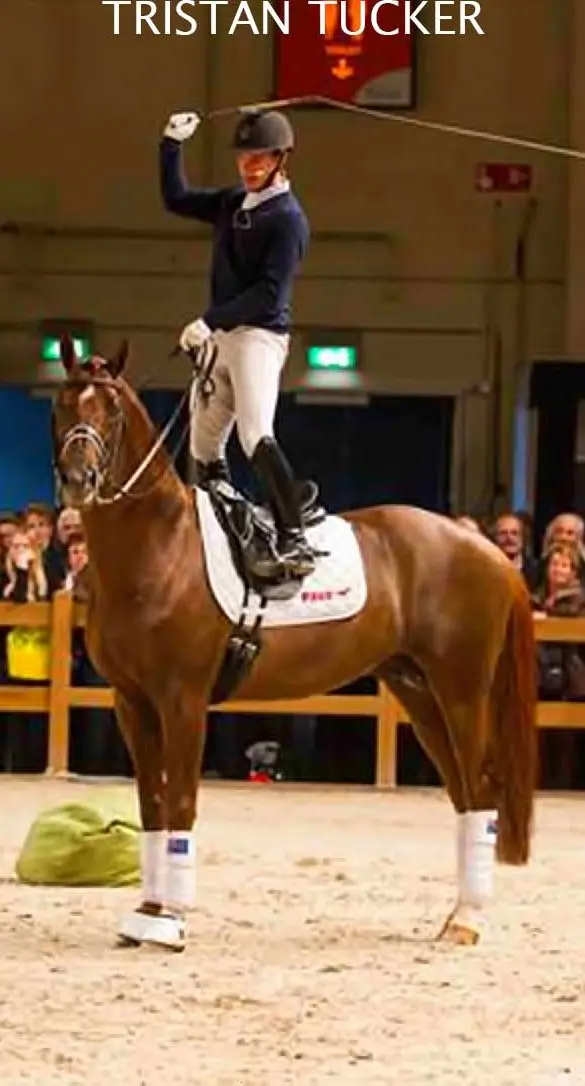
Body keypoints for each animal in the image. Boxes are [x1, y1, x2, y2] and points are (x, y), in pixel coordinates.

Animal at [50, 334, 538, 952]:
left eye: (110, 411)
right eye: (61, 404)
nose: (77, 480)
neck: (159, 548)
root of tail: (484, 547)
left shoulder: (182, 701)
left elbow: (180, 802)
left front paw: (171, 920)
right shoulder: (132, 703)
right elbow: (152, 806)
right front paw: (147, 911)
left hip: (463, 694)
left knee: (482, 787)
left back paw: (469, 920)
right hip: (420, 694)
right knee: (464, 794)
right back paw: (456, 919)